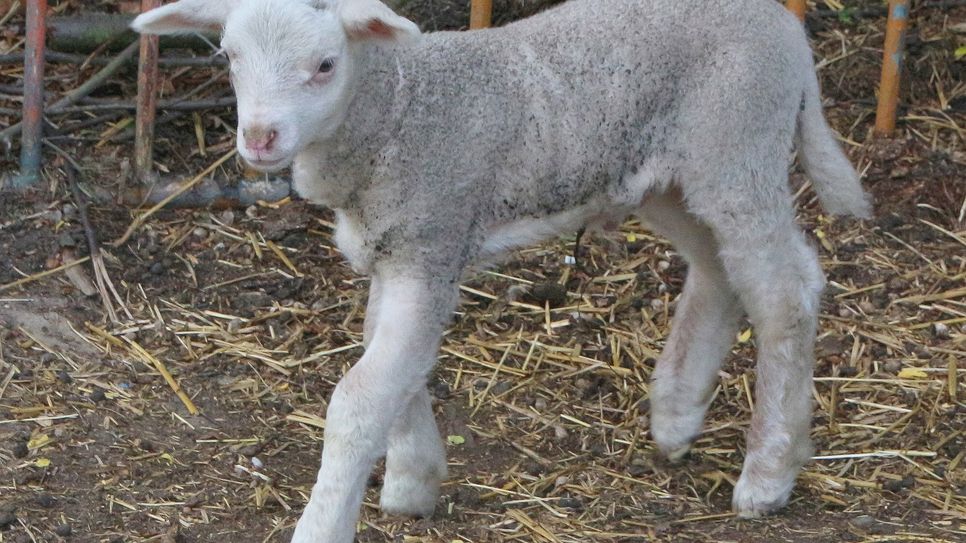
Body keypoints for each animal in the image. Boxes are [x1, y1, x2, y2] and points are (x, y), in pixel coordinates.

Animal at [132, 1, 872, 540]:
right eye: (229, 58)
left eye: (324, 64)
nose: (260, 138)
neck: (396, 107)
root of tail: (788, 29)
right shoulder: (400, 248)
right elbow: (391, 362)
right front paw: (413, 480)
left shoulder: (430, 237)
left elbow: (363, 392)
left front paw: (327, 521)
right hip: (671, 174)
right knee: (719, 268)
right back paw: (677, 413)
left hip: (737, 143)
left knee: (784, 292)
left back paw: (769, 472)